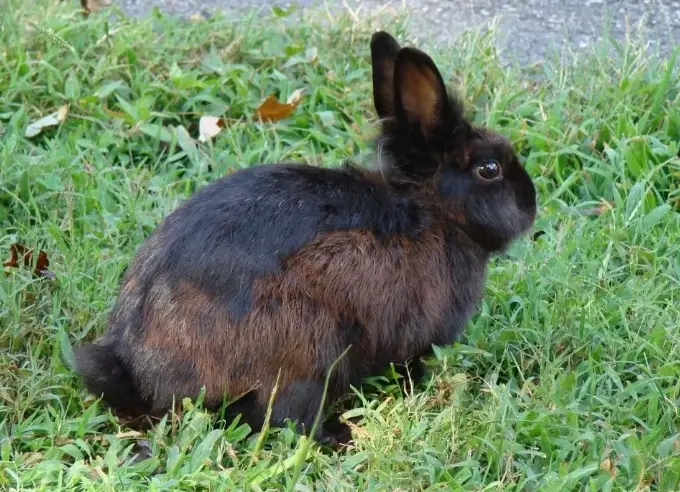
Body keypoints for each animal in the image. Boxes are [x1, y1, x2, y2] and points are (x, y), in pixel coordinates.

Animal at [73, 31, 537, 446]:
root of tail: (144, 374)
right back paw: (341, 436)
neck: (432, 209)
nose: (531, 203)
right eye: (490, 169)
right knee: (285, 417)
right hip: (310, 351)